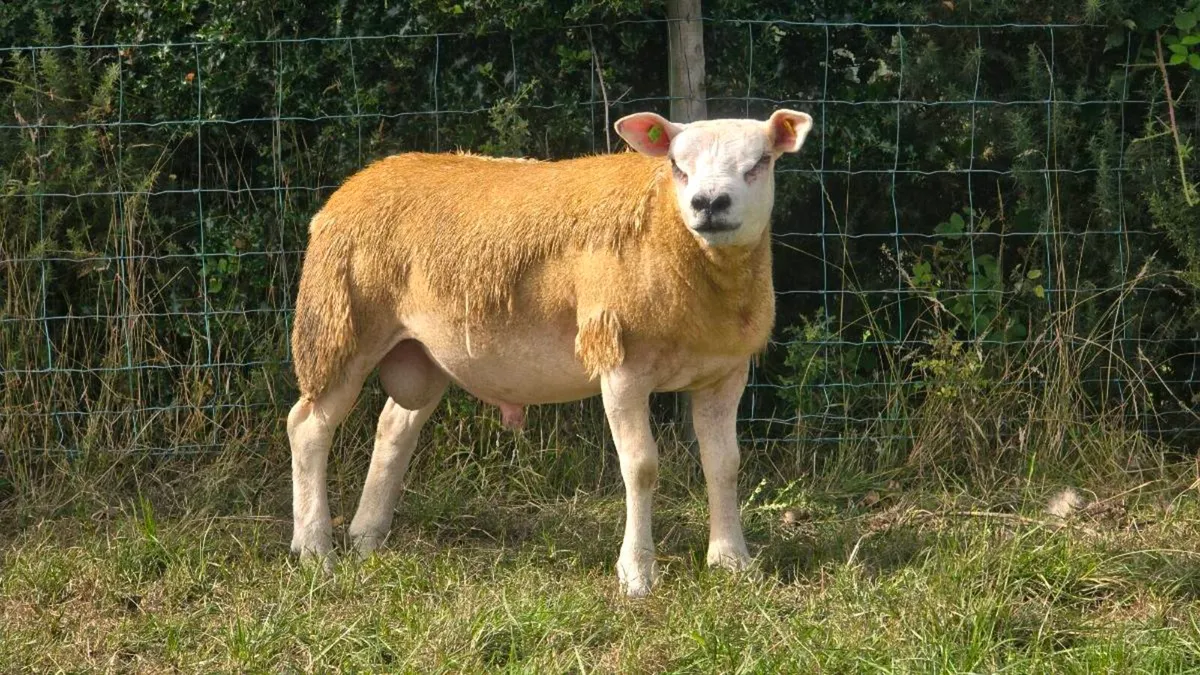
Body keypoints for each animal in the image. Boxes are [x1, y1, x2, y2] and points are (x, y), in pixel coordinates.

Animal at [287, 109, 814, 597]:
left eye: (760, 163)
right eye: (677, 166)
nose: (709, 204)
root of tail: (362, 179)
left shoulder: (725, 373)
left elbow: (724, 464)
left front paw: (733, 562)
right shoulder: (620, 364)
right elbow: (640, 467)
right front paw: (637, 573)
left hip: (425, 350)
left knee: (394, 427)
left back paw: (366, 536)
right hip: (342, 327)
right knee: (309, 427)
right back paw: (314, 548)